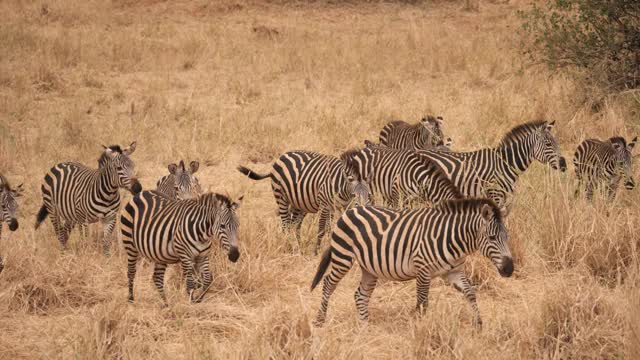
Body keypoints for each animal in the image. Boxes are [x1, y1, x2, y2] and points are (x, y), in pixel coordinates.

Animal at [239, 150, 370, 255]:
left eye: (368, 195)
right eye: (355, 196)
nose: (363, 209)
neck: (343, 188)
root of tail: (281, 156)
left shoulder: (340, 206)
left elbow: (334, 228)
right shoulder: (325, 205)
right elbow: (322, 229)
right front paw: (317, 251)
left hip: (299, 204)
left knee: (294, 225)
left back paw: (297, 247)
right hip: (281, 197)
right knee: (286, 224)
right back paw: (287, 246)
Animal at [312, 197, 512, 330]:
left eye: (507, 237)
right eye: (492, 237)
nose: (509, 269)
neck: (452, 238)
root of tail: (349, 211)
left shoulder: (454, 271)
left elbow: (470, 293)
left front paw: (479, 324)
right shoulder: (423, 269)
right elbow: (423, 303)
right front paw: (421, 328)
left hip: (369, 267)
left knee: (360, 294)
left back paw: (364, 325)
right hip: (343, 257)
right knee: (328, 283)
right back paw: (320, 320)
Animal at [418, 120, 568, 214]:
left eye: (557, 143)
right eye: (548, 144)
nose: (564, 165)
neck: (505, 163)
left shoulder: (504, 198)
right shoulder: (495, 194)